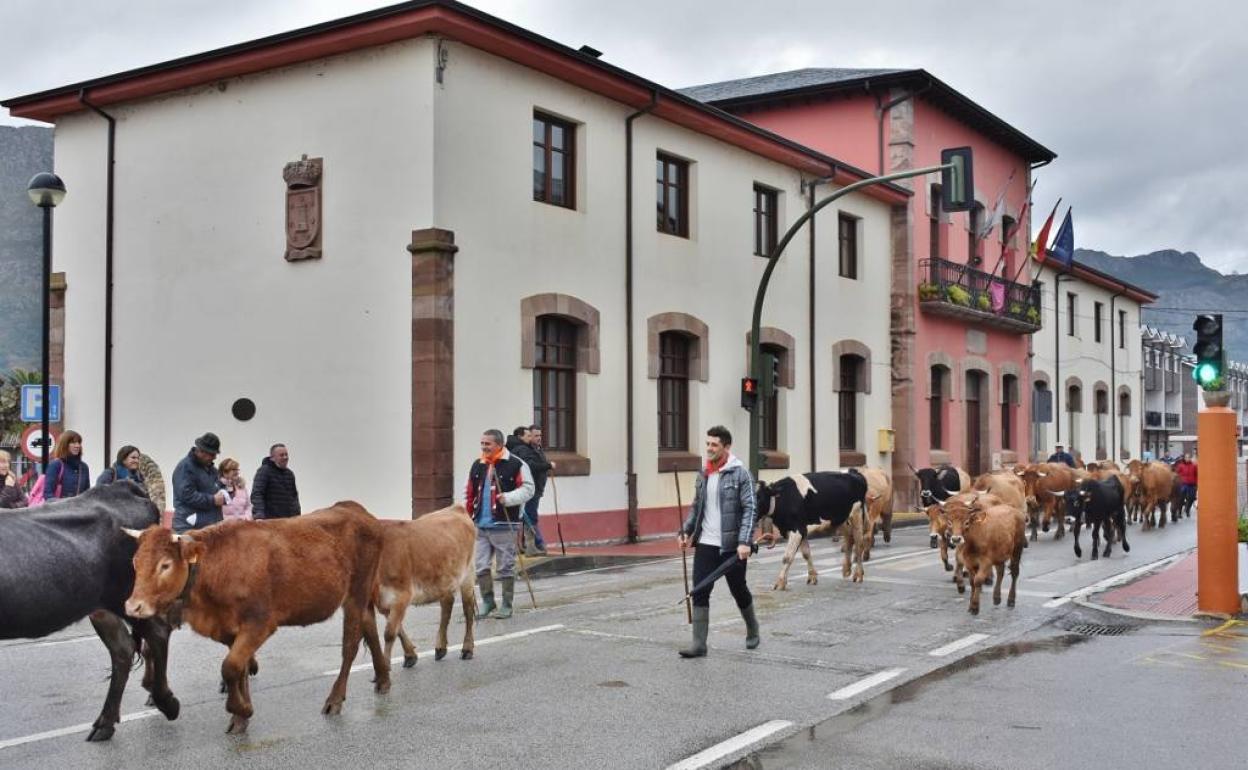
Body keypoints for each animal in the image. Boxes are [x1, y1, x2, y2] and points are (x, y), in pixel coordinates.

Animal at [0, 479, 182, 738]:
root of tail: (122, 487)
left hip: (127, 596)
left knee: (157, 633)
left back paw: (165, 702)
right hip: (101, 606)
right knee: (123, 648)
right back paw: (105, 722)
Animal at [124, 499, 389, 733]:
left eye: (165, 565)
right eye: (135, 562)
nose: (133, 606)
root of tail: (353, 508)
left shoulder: (259, 624)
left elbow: (230, 667)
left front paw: (241, 710)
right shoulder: (229, 629)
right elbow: (239, 669)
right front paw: (241, 716)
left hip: (356, 593)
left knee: (350, 646)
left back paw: (335, 698)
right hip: (360, 596)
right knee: (370, 627)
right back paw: (383, 678)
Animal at [369, 504, 476, 668]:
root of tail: (456, 508)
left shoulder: (401, 595)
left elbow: (389, 633)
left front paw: (385, 667)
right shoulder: (383, 601)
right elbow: (397, 629)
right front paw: (410, 656)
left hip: (467, 575)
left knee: (468, 609)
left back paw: (467, 648)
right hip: (443, 578)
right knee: (447, 604)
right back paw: (440, 647)